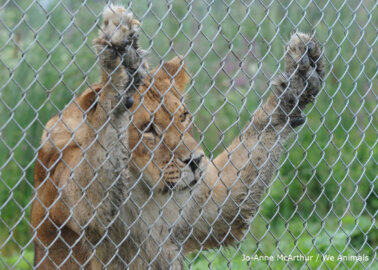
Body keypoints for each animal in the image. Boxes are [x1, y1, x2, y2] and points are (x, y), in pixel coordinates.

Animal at [30, 4, 324, 270]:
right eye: (148, 129)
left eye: (183, 116)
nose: (195, 161)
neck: (144, 191)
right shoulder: (80, 207)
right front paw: (118, 62)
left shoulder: (209, 212)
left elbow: (257, 136)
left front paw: (299, 78)